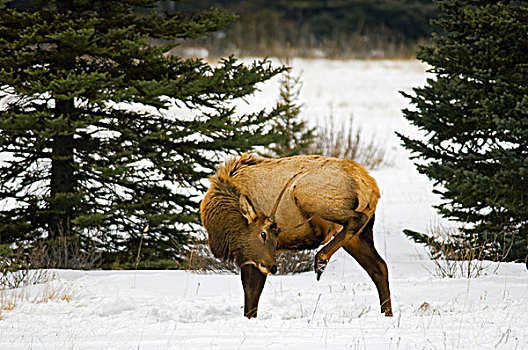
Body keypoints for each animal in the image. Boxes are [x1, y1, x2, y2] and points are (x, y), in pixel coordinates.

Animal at [200, 153, 390, 318]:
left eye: (267, 233)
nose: (273, 267)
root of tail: (369, 185)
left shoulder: (257, 258)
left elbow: (252, 291)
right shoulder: (254, 258)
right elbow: (251, 293)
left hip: (308, 195)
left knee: (357, 219)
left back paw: (321, 260)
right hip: (360, 235)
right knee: (379, 267)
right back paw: (387, 314)